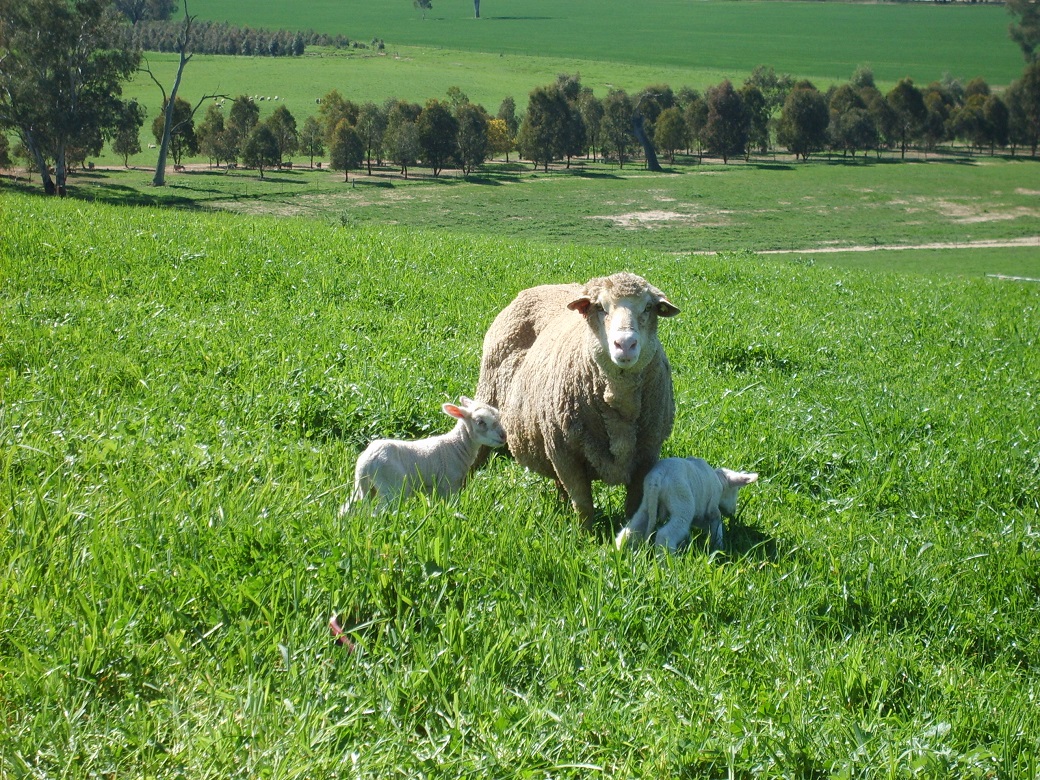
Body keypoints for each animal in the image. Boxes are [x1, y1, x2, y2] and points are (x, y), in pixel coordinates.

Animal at [343, 397, 505, 513]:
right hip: (392, 487)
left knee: (349, 508)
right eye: (480, 422)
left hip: (363, 487)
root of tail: (367, 462)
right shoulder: (448, 485)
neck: (457, 446)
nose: (504, 436)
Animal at [476, 270, 682, 532]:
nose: (625, 344)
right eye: (600, 307)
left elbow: (634, 507)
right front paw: (585, 537)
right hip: (488, 396)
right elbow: (584, 505)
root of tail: (544, 286)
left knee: (559, 485)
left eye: (648, 307)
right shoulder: (565, 452)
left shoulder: (647, 454)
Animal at [611, 457, 761, 557]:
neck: (720, 480)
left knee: (630, 530)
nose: (733, 512)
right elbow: (717, 525)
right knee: (665, 535)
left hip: (646, 505)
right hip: (682, 506)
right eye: (736, 491)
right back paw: (668, 564)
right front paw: (719, 547)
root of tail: (657, 479)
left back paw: (616, 552)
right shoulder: (711, 508)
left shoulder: (699, 513)